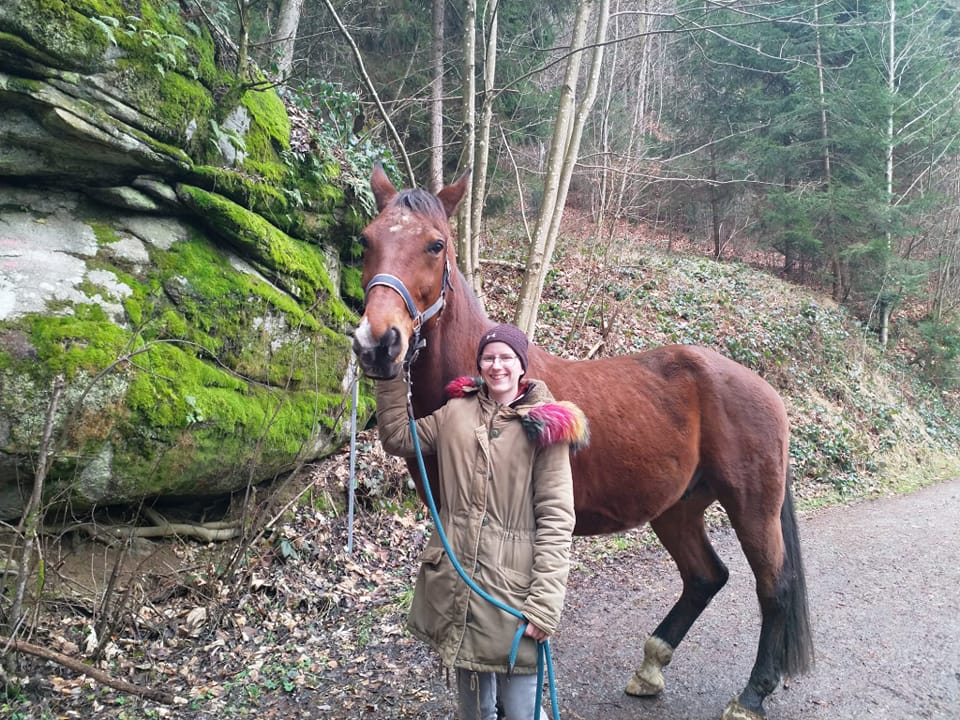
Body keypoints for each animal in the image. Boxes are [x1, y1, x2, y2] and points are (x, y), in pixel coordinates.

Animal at [351, 166, 814, 720]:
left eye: (436, 245)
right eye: (365, 240)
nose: (378, 344)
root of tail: (763, 388)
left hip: (751, 507)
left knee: (775, 587)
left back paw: (751, 695)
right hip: (677, 508)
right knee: (706, 577)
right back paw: (651, 668)